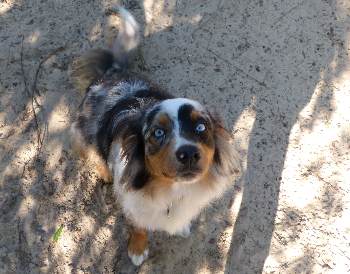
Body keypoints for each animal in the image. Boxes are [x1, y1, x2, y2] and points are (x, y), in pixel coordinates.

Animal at [70, 7, 242, 266]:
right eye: (158, 132)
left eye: (201, 127)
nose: (188, 153)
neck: (173, 191)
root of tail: (112, 72)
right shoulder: (133, 202)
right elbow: (138, 226)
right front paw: (137, 249)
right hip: (84, 133)